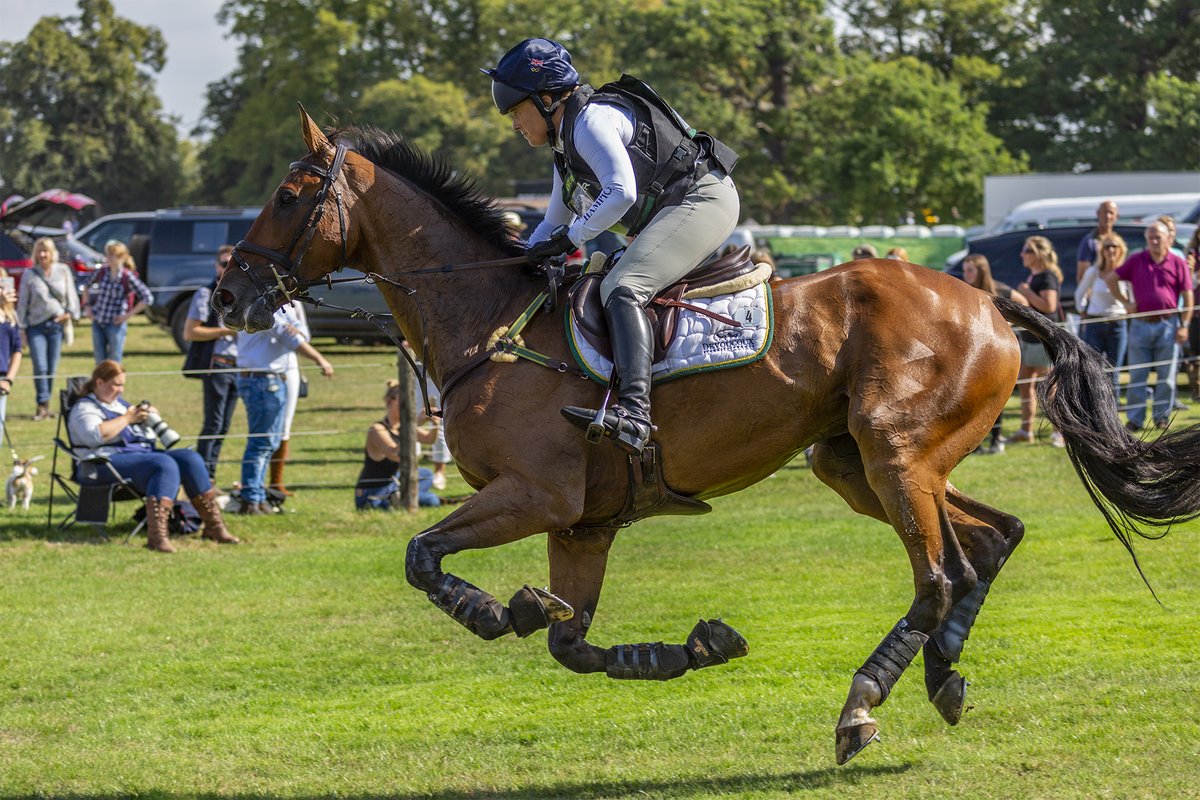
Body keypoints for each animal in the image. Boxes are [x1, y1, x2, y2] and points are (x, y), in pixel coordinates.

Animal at [213, 108, 1200, 764]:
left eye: (290, 195)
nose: (227, 295)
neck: (488, 319)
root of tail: (993, 301)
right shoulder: (582, 522)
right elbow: (573, 644)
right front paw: (690, 645)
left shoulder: (535, 495)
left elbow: (424, 556)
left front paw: (497, 609)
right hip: (858, 461)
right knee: (993, 540)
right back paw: (943, 678)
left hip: (893, 453)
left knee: (941, 574)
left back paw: (862, 705)